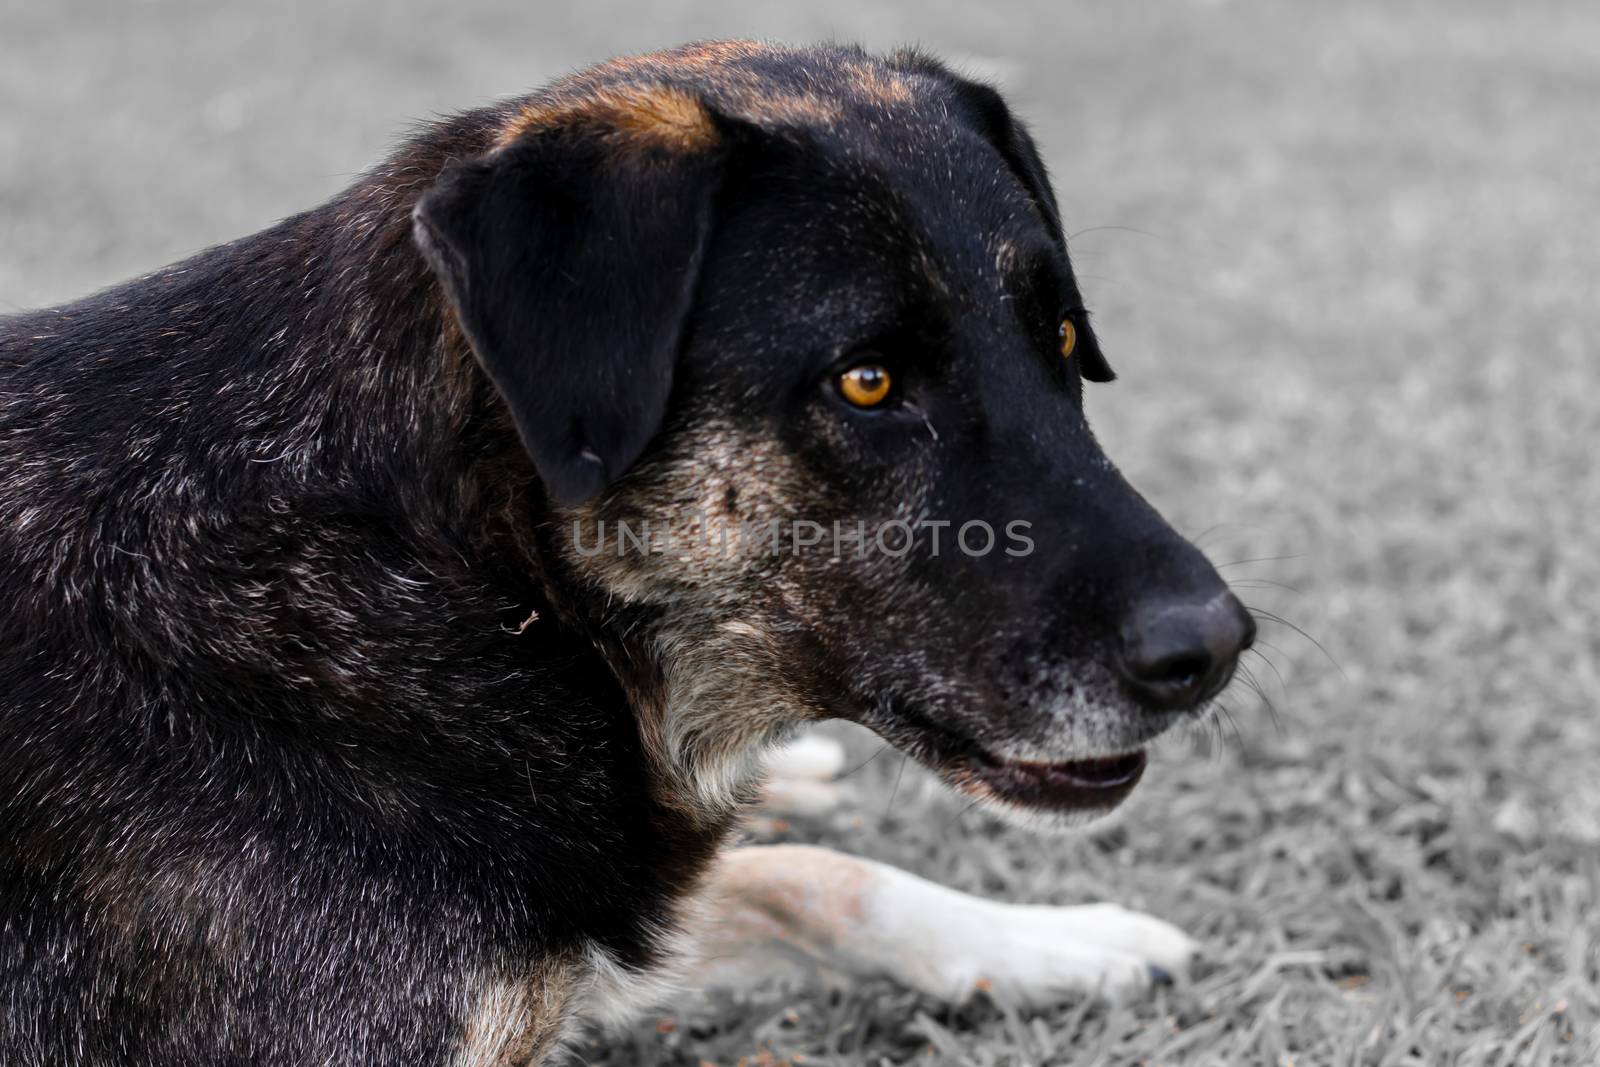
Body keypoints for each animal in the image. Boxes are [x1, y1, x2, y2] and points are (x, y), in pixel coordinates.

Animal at [0, 37, 1248, 1062]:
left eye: (1064, 342)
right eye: (867, 380)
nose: (1217, 647)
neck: (474, 580)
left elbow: (809, 876)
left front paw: (1059, 941)